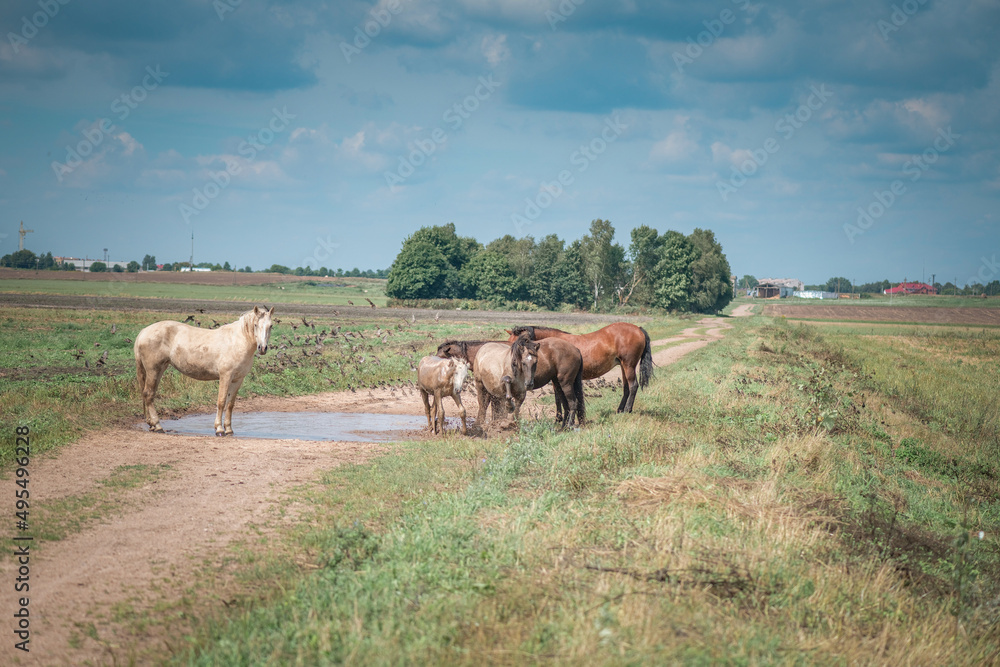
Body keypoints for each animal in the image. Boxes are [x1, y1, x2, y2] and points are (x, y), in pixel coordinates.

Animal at [133, 306, 276, 436]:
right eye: (256, 325)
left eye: (271, 326)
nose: (263, 348)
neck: (237, 342)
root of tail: (144, 331)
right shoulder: (225, 376)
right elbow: (221, 402)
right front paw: (219, 429)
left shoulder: (237, 379)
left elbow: (230, 404)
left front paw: (229, 429)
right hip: (153, 370)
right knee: (148, 394)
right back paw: (157, 426)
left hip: (160, 369)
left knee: (149, 395)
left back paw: (151, 425)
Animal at [438, 340, 584, 428]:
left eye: (440, 356)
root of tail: (576, 349)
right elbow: (494, 408)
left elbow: (487, 406)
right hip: (558, 383)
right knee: (567, 404)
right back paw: (563, 425)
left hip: (565, 383)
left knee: (572, 403)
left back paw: (569, 426)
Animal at [508, 322, 656, 412]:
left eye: (521, 342)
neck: (552, 344)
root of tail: (638, 329)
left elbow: (558, 400)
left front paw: (558, 419)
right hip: (623, 366)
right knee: (626, 387)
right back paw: (620, 410)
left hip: (629, 365)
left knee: (633, 386)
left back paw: (627, 409)